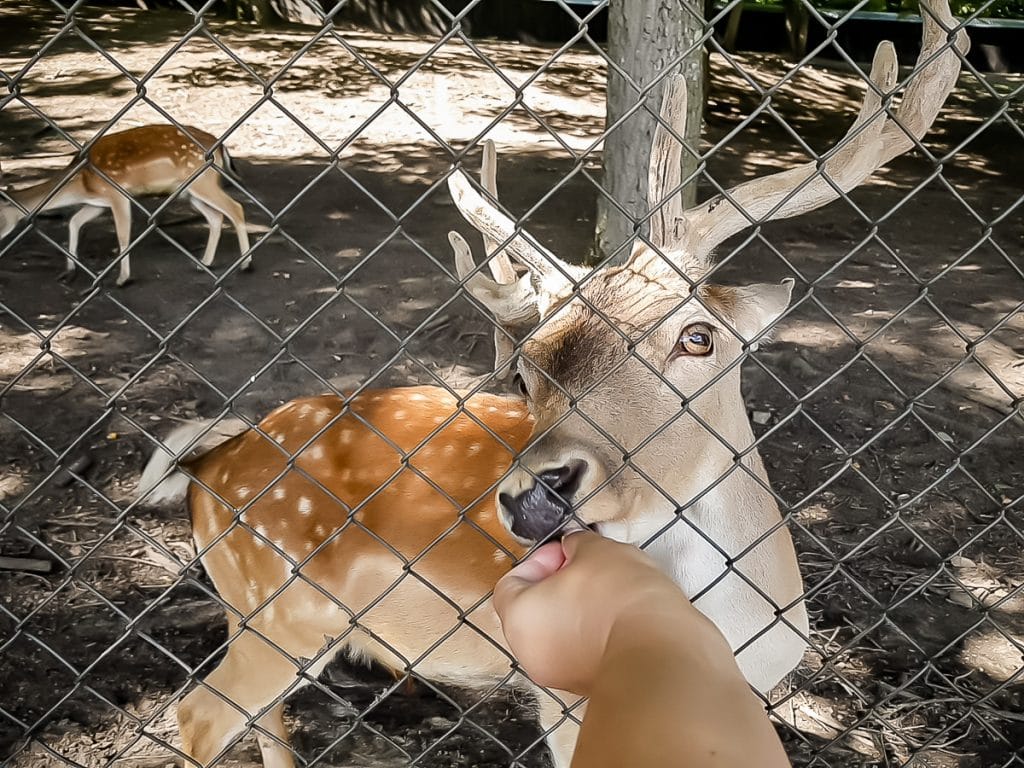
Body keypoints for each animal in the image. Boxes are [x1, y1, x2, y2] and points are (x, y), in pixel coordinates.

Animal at [136, 1, 966, 765]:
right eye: (529, 363)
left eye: (698, 337)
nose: (536, 490)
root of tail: (211, 461)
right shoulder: (563, 701)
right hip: (277, 607)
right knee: (197, 714)